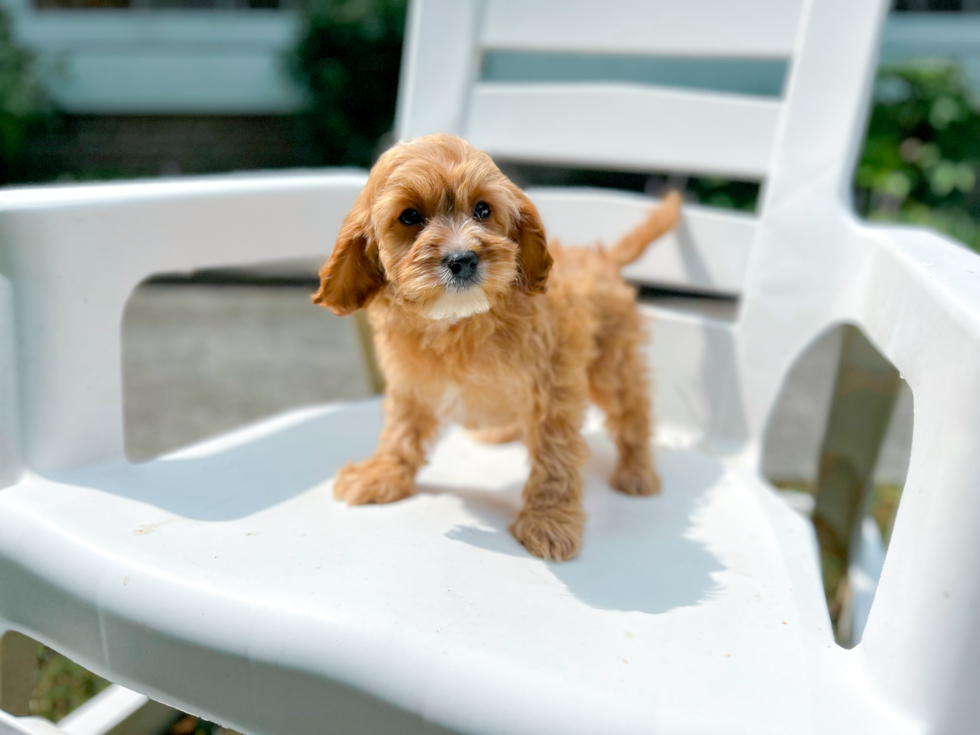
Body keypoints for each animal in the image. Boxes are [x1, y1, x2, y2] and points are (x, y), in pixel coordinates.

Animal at [314, 132, 680, 560]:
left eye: (482, 210)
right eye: (409, 216)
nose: (463, 258)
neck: (459, 323)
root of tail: (600, 257)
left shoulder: (554, 386)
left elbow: (555, 457)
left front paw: (549, 520)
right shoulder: (409, 385)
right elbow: (400, 432)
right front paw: (382, 473)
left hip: (612, 365)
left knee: (632, 412)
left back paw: (637, 471)